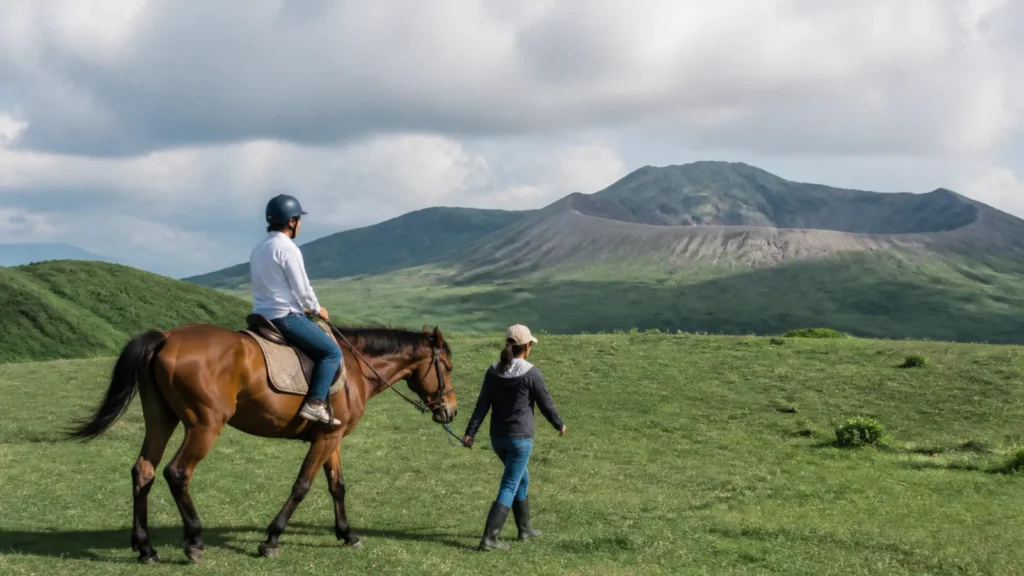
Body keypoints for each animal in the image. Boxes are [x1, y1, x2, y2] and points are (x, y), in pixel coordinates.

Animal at [66, 320, 457, 564]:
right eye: (450, 368)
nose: (450, 411)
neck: (356, 367)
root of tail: (166, 337)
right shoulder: (326, 438)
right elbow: (302, 486)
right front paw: (271, 539)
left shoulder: (331, 436)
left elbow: (337, 486)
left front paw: (347, 534)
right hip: (205, 425)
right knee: (176, 473)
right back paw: (194, 540)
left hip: (162, 421)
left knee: (143, 471)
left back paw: (146, 548)